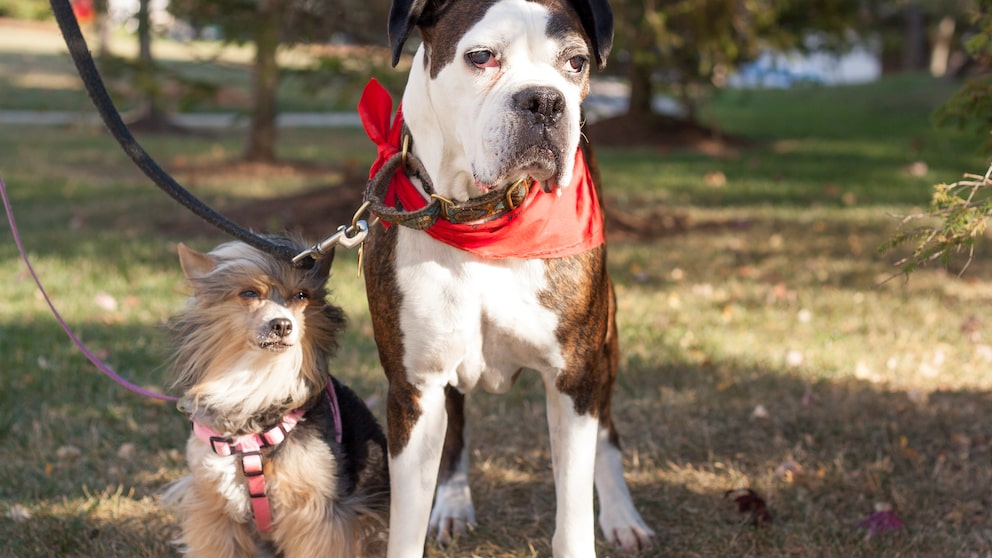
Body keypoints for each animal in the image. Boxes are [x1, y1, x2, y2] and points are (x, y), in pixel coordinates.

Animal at [360, 2, 656, 556]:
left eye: (577, 62)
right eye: (481, 57)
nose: (544, 100)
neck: (482, 219)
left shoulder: (573, 380)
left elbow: (574, 510)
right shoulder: (414, 390)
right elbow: (406, 521)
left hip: (605, 348)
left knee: (607, 435)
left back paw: (622, 515)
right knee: (455, 433)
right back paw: (453, 505)